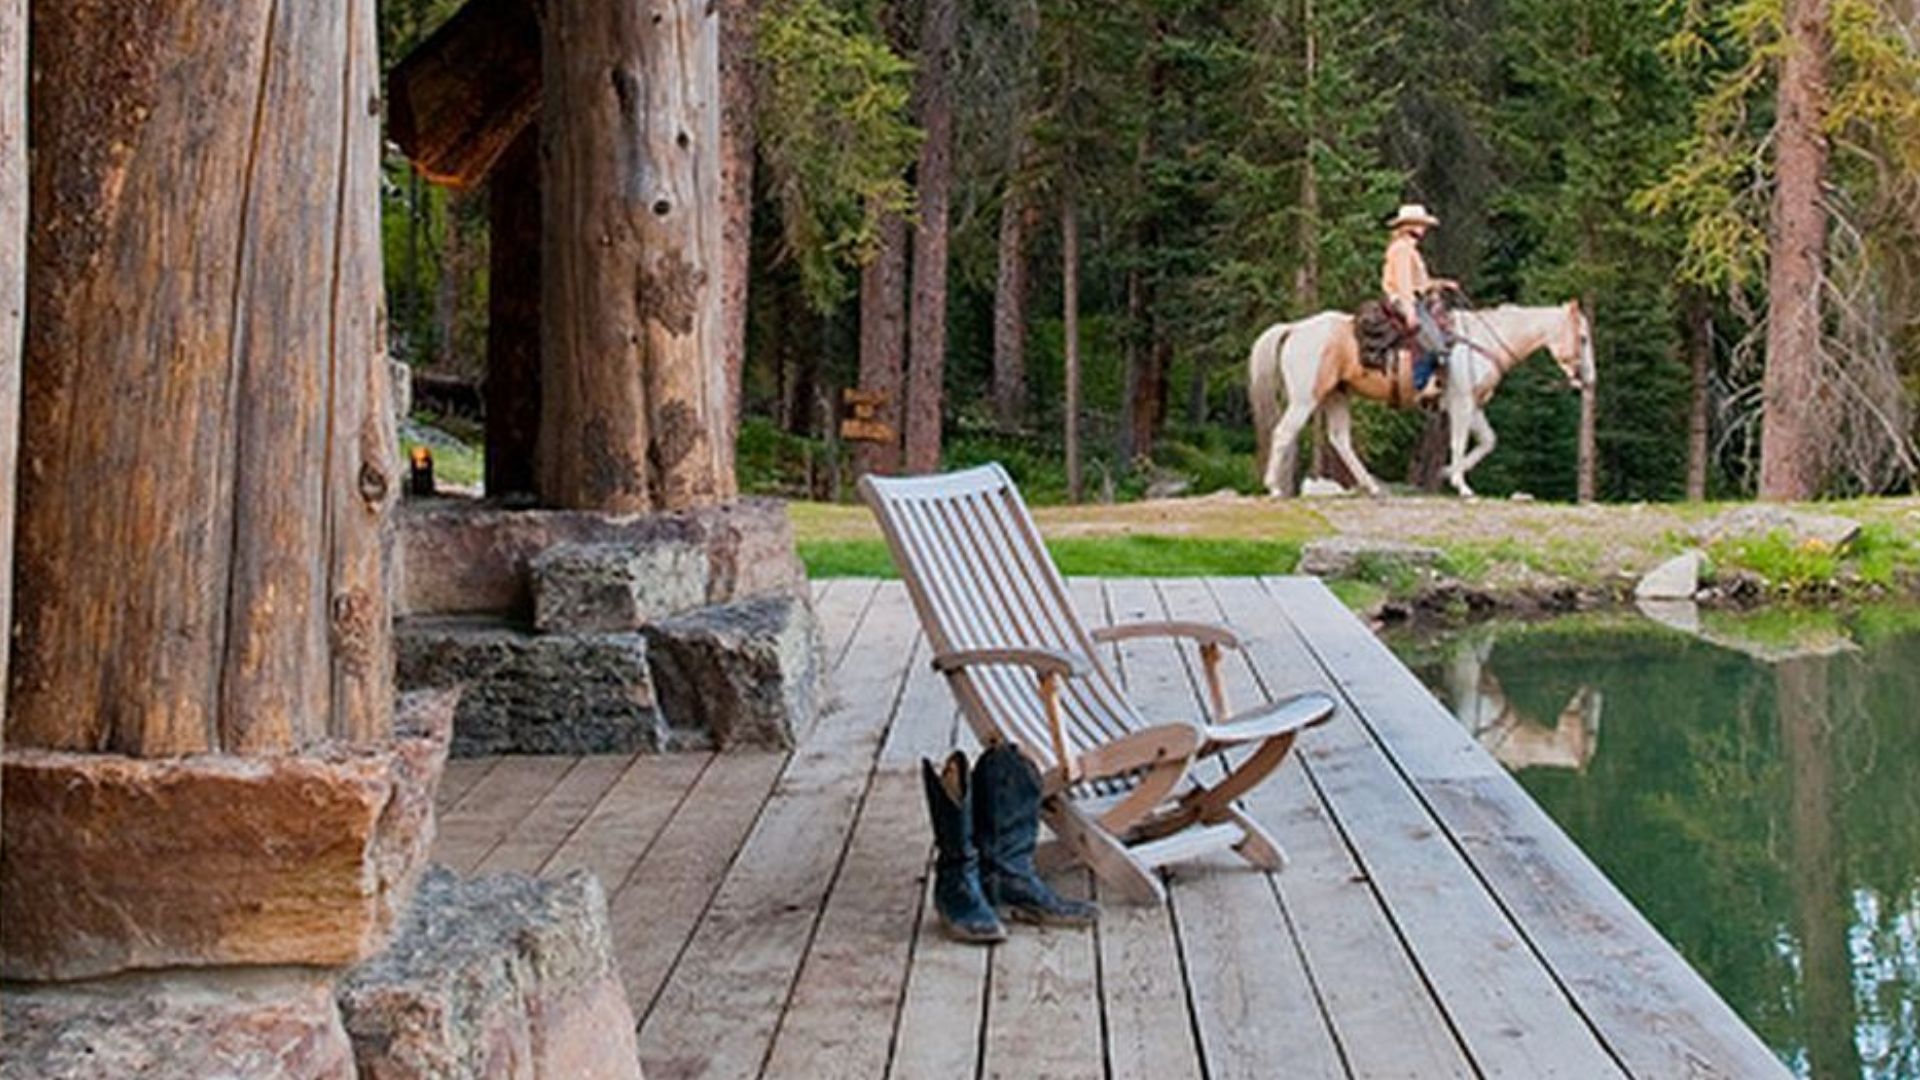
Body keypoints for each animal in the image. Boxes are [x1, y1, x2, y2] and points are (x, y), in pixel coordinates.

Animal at [1244, 295, 1589, 495]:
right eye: (1584, 338)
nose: (1587, 380)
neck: (1480, 342)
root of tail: (1294, 328)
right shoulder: (1461, 403)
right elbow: (1459, 441)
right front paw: (1461, 486)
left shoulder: (1474, 406)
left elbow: (1488, 441)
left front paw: (1448, 473)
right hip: (1305, 399)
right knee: (1283, 433)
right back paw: (1273, 487)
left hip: (1335, 396)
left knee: (1339, 439)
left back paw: (1371, 486)